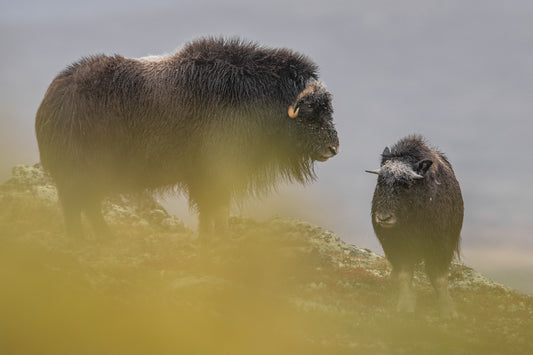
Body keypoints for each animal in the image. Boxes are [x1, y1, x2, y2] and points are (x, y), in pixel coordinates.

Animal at [35, 36, 338, 239]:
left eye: (328, 109)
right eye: (311, 113)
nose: (333, 148)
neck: (261, 96)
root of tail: (54, 96)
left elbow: (214, 211)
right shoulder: (214, 173)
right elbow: (216, 209)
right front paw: (217, 240)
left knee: (87, 205)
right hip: (81, 172)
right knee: (77, 205)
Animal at [366, 135, 462, 318]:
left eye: (407, 185)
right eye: (380, 182)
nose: (383, 218)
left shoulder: (441, 244)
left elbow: (439, 277)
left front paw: (448, 309)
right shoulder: (397, 245)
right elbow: (404, 273)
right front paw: (406, 306)